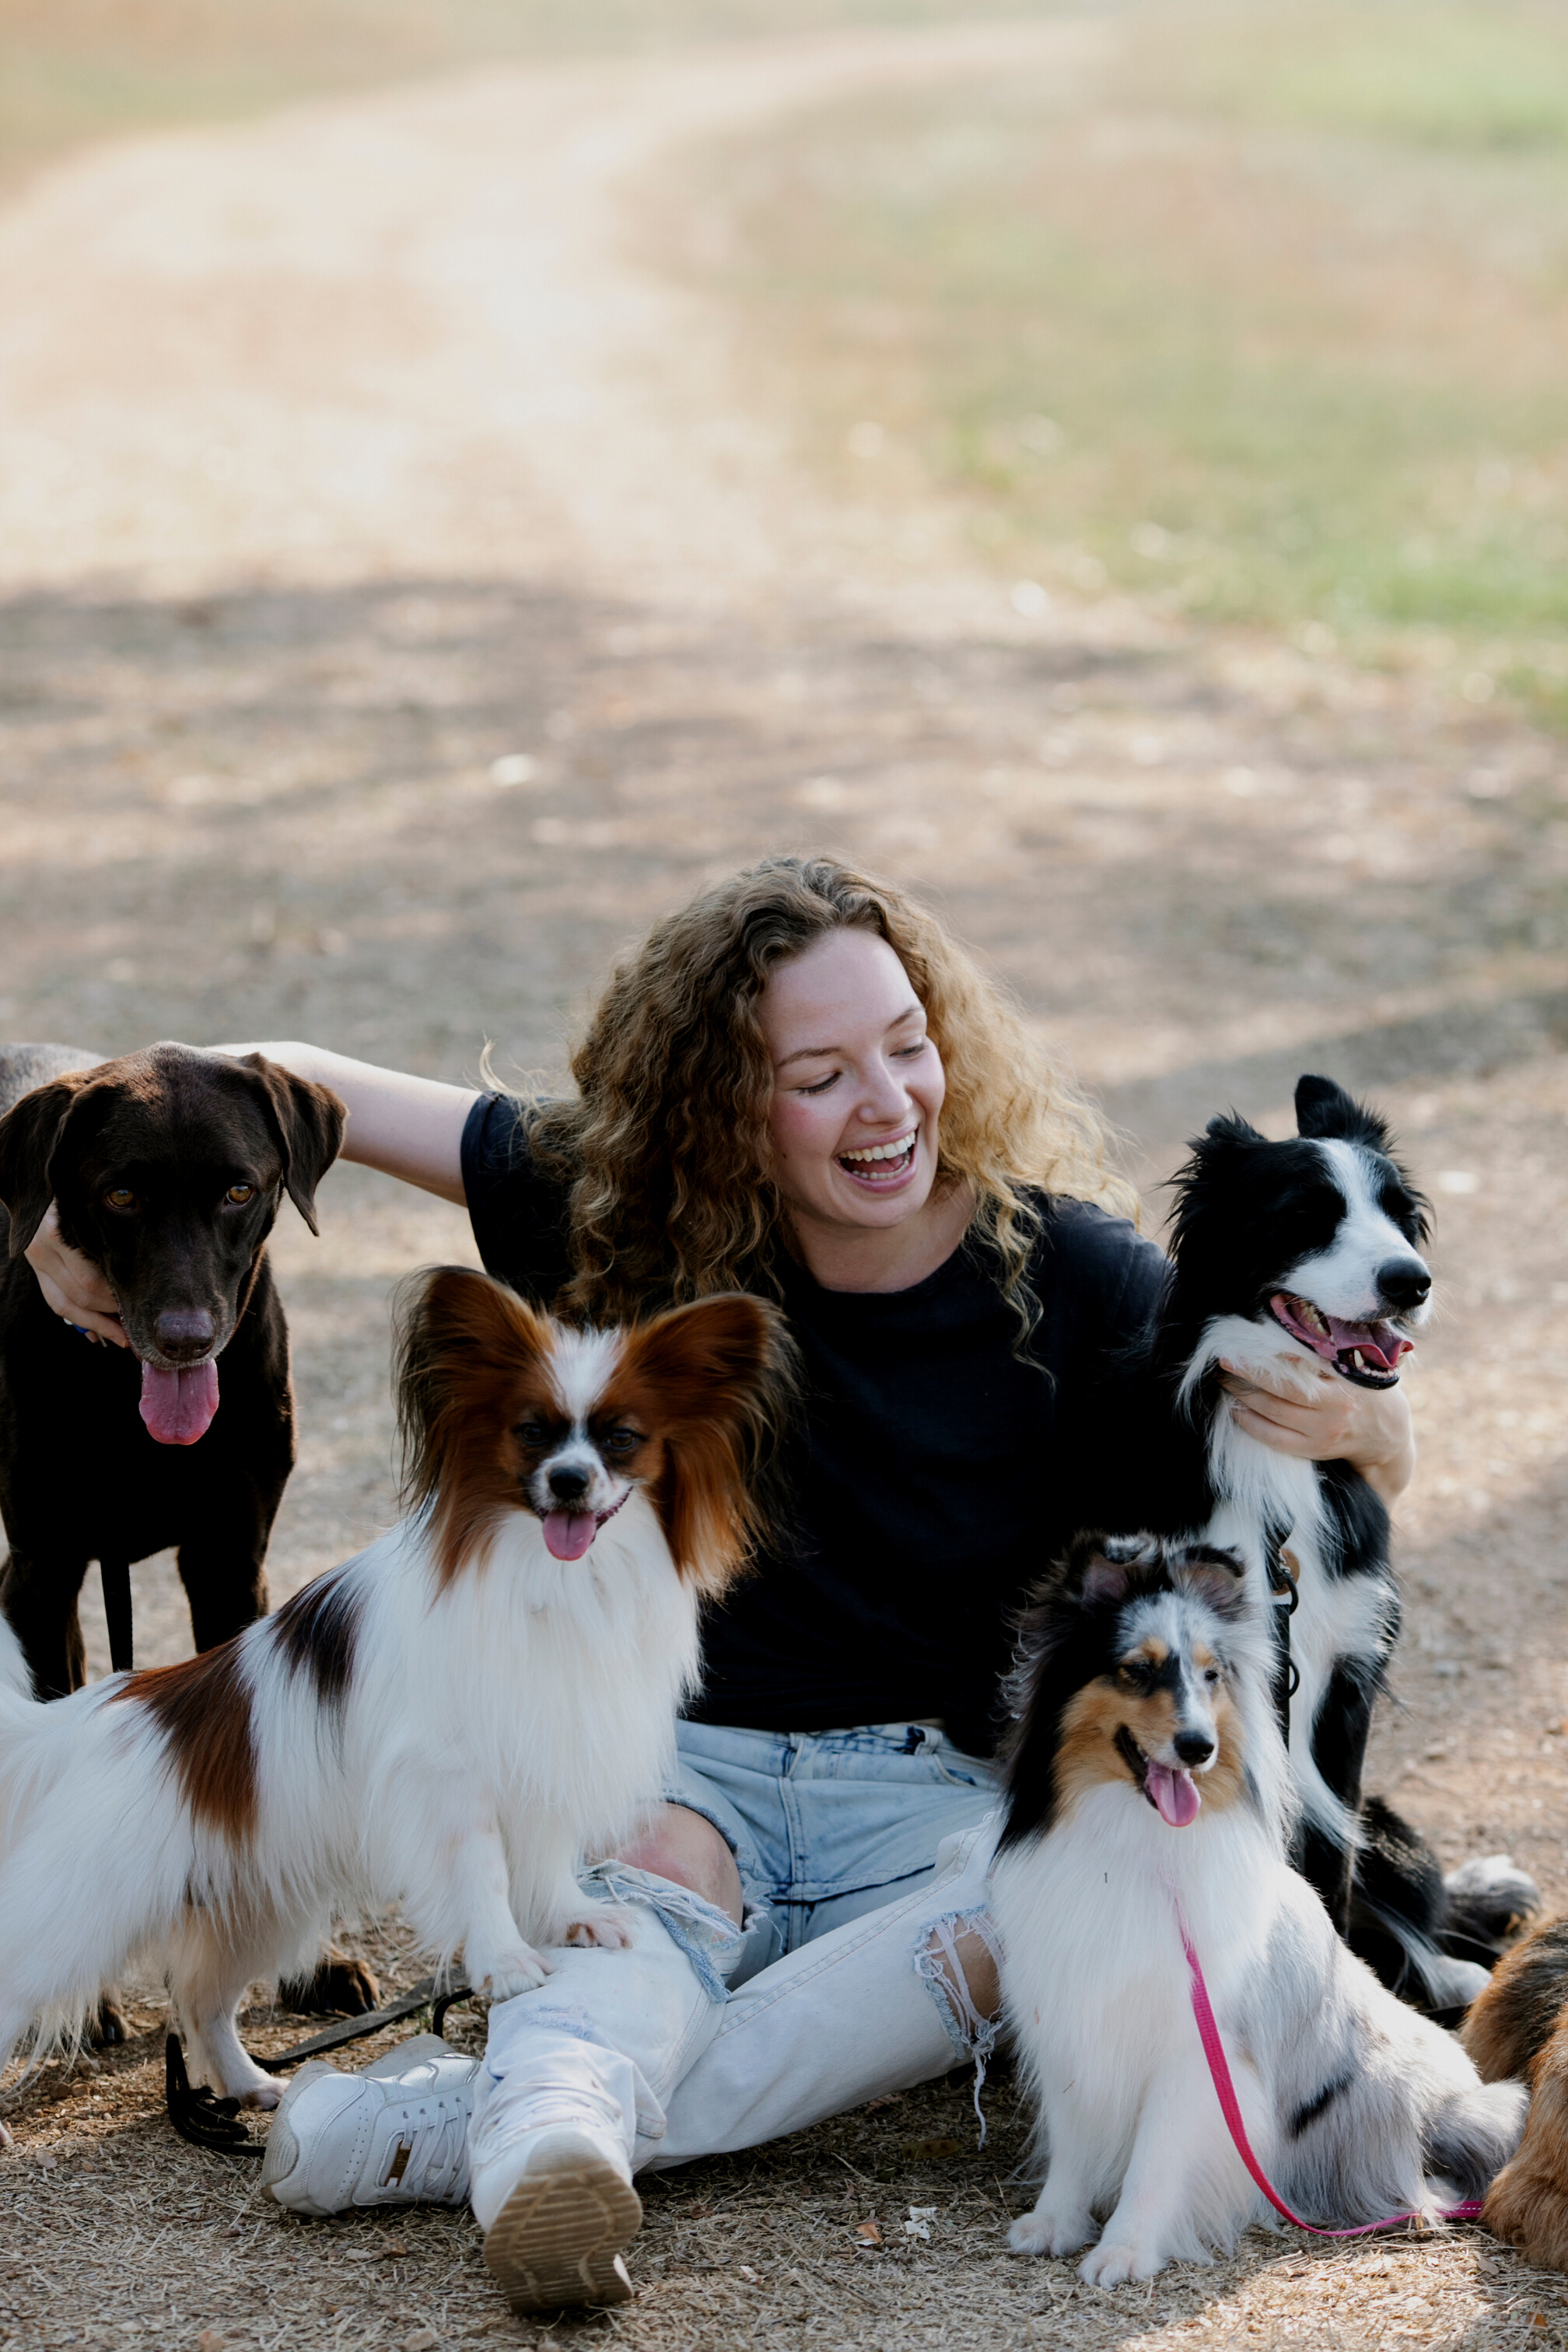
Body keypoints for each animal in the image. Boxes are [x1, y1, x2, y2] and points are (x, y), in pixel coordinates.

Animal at [0, 1269, 785, 2116]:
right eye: (531, 1432)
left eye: (622, 1439)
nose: (569, 1482)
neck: (547, 1579)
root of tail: (84, 1721)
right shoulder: (451, 1779)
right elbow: (485, 1871)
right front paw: (505, 1961)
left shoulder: (543, 1748)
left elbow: (548, 1857)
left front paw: (572, 1919)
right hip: (77, 1921)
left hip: (256, 1906)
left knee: (204, 2003)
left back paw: (252, 2089)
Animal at [992, 1533, 1523, 2286]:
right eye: (1138, 1672)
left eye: (1212, 1676)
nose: (1198, 1747)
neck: (1136, 1844)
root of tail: (1457, 2105)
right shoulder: (1071, 2014)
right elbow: (1072, 2139)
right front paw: (1055, 2223)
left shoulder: (1194, 2049)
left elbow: (1154, 2160)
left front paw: (1125, 2249)